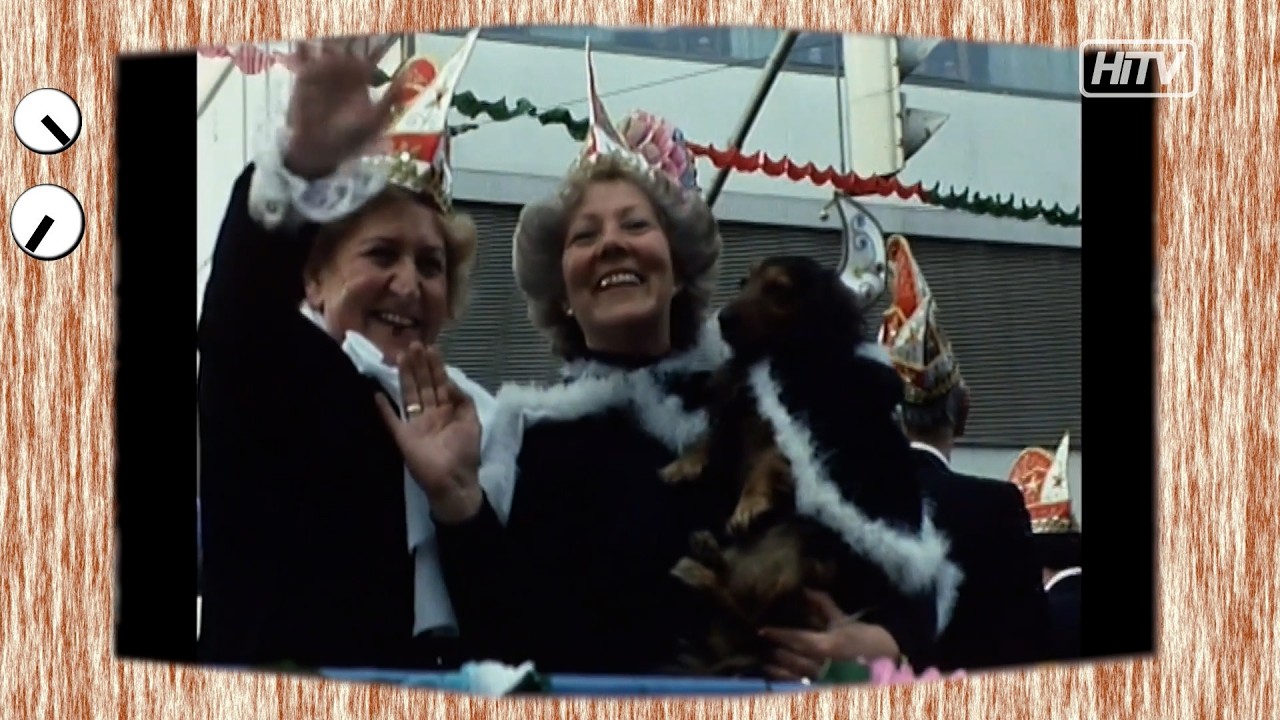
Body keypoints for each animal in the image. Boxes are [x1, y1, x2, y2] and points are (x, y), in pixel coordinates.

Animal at [660, 256, 918, 677]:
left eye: (779, 290)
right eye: (743, 282)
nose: (723, 319)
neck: (777, 357)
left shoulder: (800, 434)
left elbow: (768, 464)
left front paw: (749, 505)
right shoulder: (738, 411)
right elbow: (712, 436)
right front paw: (684, 464)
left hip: (793, 544)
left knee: (752, 611)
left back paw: (699, 568)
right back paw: (705, 557)